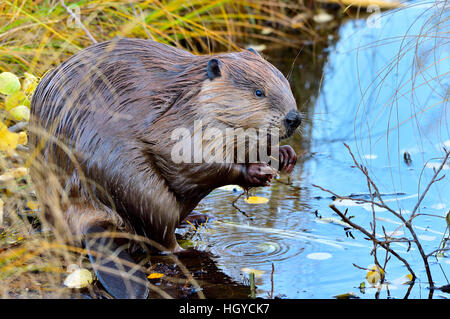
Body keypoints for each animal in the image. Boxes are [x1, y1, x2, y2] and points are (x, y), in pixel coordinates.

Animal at [29, 38, 300, 300]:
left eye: (286, 84)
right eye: (258, 92)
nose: (294, 118)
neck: (188, 97)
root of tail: (91, 224)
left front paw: (285, 155)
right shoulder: (173, 127)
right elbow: (189, 161)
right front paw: (257, 173)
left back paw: (198, 217)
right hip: (139, 189)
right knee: (160, 240)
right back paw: (189, 250)